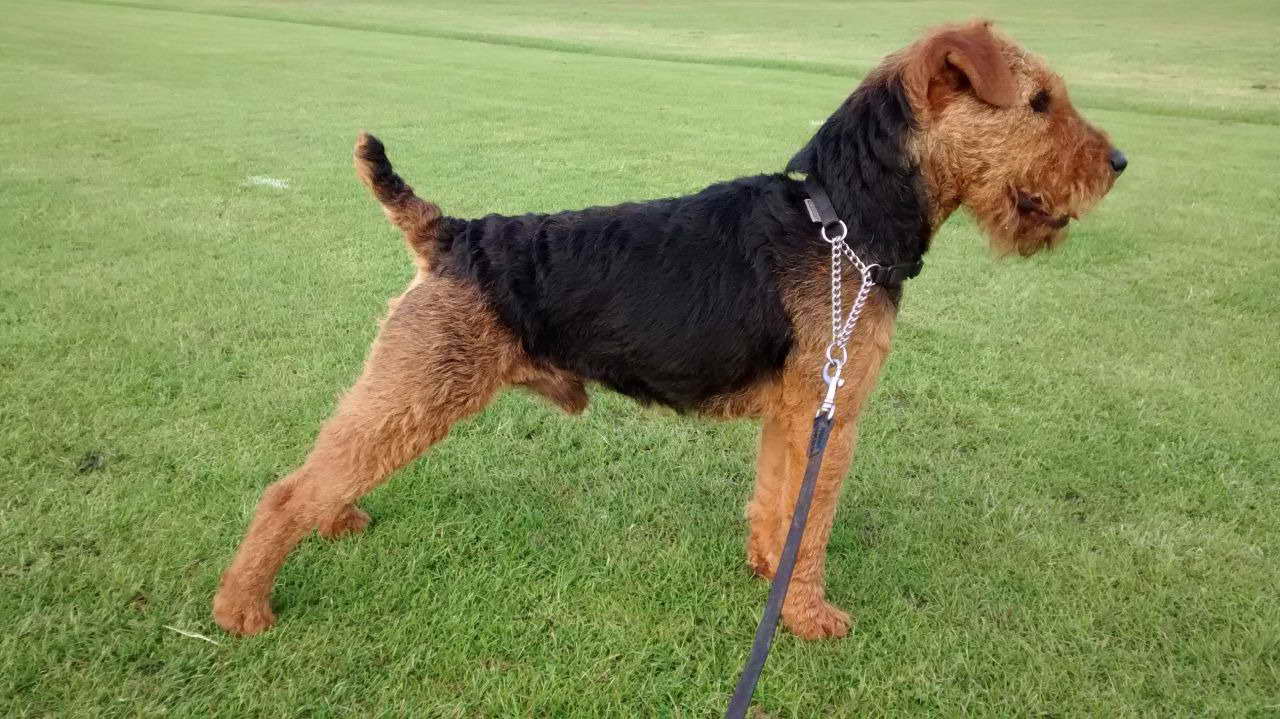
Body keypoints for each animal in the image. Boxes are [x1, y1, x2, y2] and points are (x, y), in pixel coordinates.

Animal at [215, 20, 1126, 637]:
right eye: (1039, 101)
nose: (1117, 164)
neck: (842, 224)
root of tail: (451, 232)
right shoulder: (830, 410)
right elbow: (812, 520)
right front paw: (810, 617)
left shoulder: (795, 412)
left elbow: (777, 504)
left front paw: (769, 575)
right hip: (422, 380)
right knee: (288, 488)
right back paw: (241, 607)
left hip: (410, 382)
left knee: (326, 467)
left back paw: (334, 523)